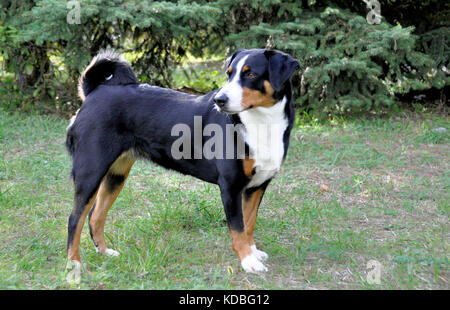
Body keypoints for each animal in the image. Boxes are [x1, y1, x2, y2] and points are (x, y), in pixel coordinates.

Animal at [66, 48, 298, 274]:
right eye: (229, 74)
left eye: (251, 75)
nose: (219, 100)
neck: (262, 123)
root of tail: (96, 91)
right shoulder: (231, 186)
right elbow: (238, 228)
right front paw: (248, 261)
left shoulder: (257, 186)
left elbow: (249, 224)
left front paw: (253, 252)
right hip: (91, 171)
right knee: (75, 219)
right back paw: (74, 264)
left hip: (116, 174)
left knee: (95, 216)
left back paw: (105, 253)